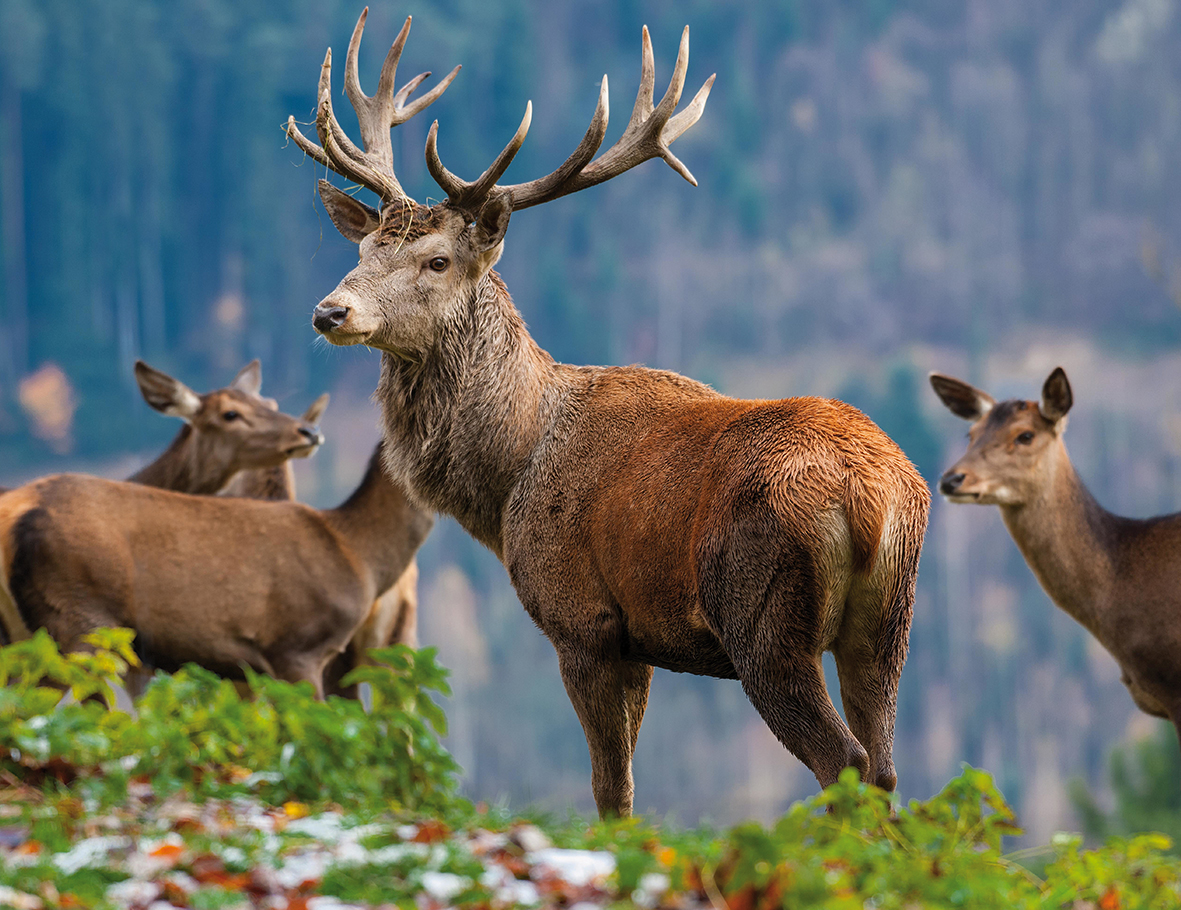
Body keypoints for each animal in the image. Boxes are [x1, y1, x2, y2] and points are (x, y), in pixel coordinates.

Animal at [288, 8, 930, 816]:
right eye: (364, 247)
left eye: (436, 260)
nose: (329, 311)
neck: (508, 478)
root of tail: (874, 498)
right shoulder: (641, 641)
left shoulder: (583, 622)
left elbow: (609, 787)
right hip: (887, 623)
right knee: (885, 766)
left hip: (764, 616)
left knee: (842, 759)